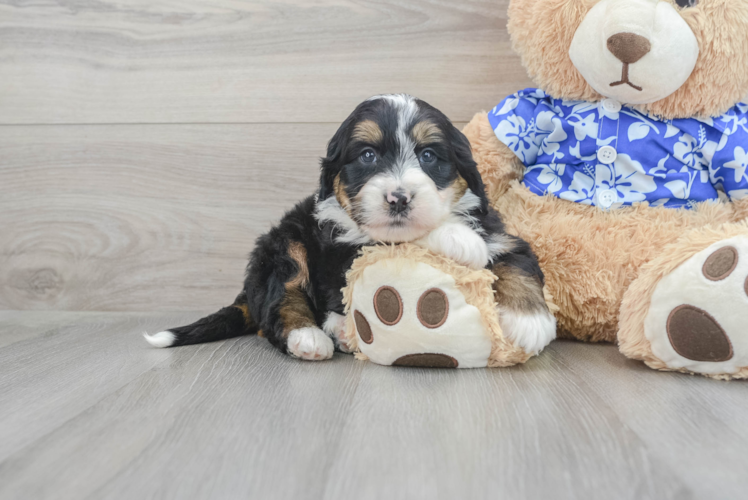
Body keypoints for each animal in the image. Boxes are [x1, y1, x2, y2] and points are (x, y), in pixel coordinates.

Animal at [146, 94, 556, 360]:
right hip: (285, 244)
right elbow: (396, 242)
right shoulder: (341, 246)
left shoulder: (500, 234)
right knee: (280, 303)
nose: (398, 198)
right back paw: (312, 336)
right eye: (368, 156)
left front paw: (530, 322)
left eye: (428, 155)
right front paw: (458, 239)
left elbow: (519, 263)